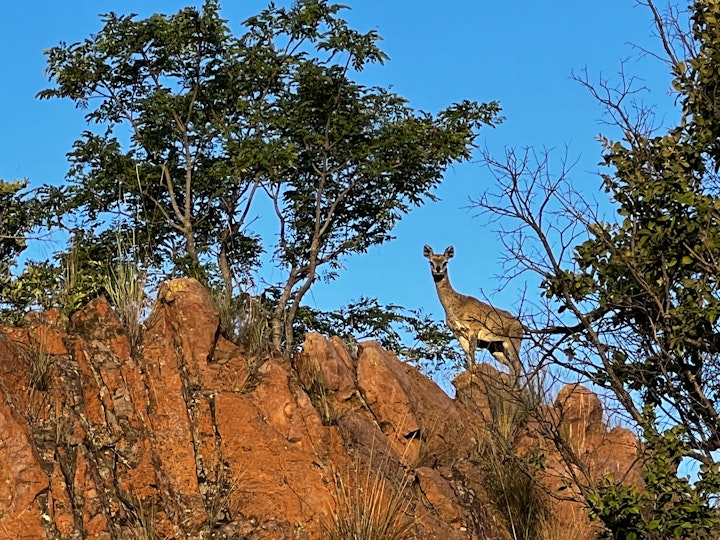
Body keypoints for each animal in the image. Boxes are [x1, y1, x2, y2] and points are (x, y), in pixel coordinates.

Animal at [422, 246, 524, 378]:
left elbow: (471, 350)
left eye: (445, 262)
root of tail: (521, 326)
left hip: (513, 341)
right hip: (496, 348)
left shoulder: (474, 328)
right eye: (431, 262)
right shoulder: (458, 333)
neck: (456, 307)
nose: (437, 270)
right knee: (511, 366)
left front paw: (474, 371)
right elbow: (467, 353)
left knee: (517, 365)